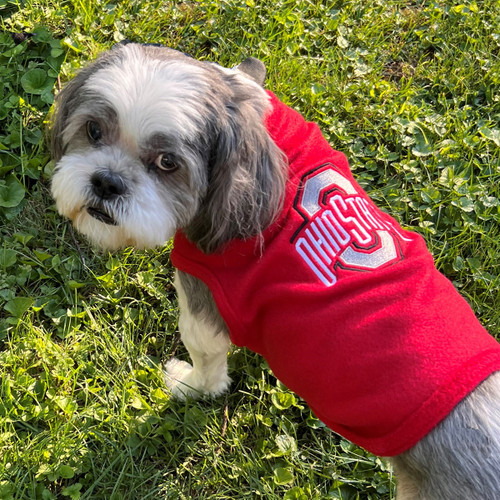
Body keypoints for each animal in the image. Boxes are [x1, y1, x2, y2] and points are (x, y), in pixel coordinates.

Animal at [49, 44, 500, 500]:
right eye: (93, 130)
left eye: (167, 162)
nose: (107, 182)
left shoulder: (202, 300)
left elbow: (207, 363)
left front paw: (187, 386)